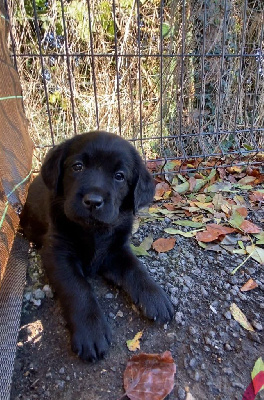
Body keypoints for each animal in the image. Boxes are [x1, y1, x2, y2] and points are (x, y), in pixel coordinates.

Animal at [20, 130, 173, 360]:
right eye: (77, 167)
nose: (93, 201)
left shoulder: (116, 250)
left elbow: (136, 269)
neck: (93, 230)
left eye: (119, 176)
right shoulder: (58, 253)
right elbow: (77, 288)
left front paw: (155, 296)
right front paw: (91, 331)